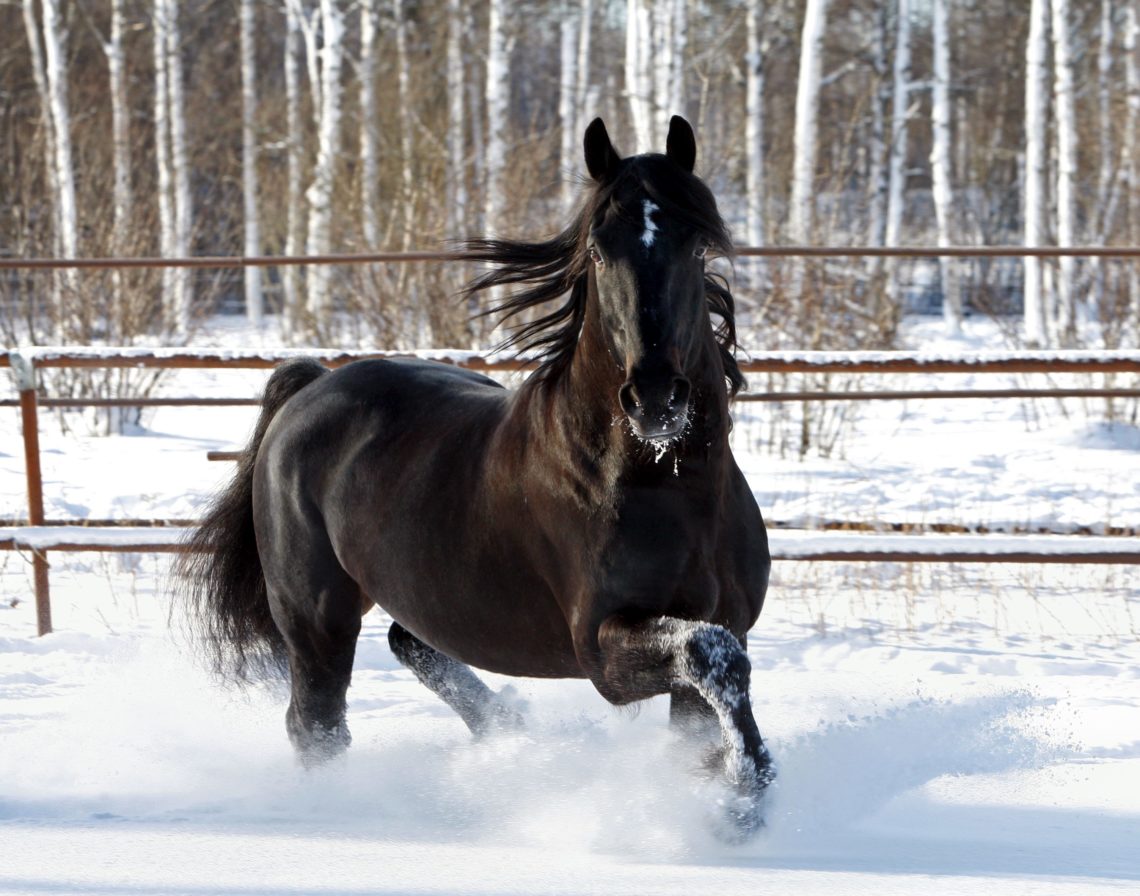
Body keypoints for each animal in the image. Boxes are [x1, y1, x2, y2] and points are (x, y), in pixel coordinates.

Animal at [182, 115, 775, 834]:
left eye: (694, 248)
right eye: (598, 251)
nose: (655, 398)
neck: (666, 489)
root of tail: (314, 383)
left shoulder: (721, 620)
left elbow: (712, 689)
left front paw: (725, 794)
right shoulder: (601, 647)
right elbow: (713, 657)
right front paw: (746, 794)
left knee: (411, 642)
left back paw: (511, 728)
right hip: (316, 617)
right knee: (317, 726)